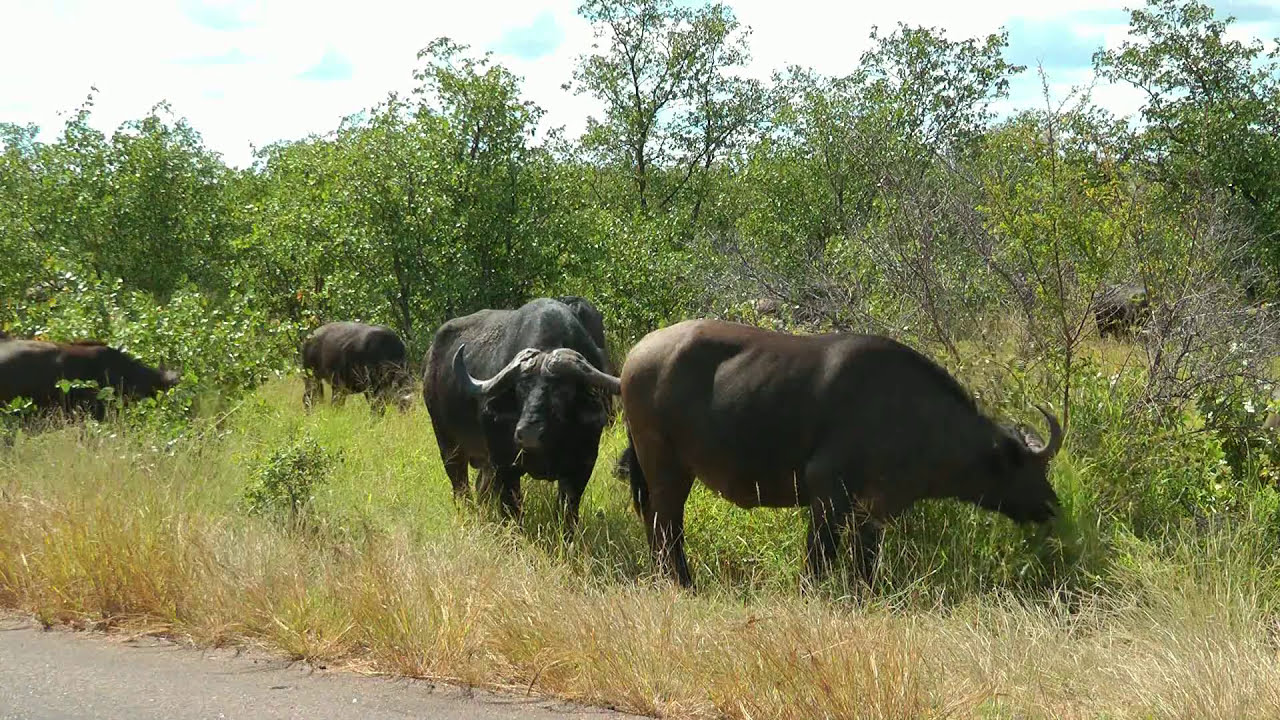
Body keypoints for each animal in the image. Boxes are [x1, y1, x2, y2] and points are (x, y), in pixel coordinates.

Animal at [423, 298, 622, 532]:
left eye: (563, 391)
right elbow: (512, 510)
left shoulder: (581, 466)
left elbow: (567, 513)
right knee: (461, 488)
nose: (528, 434)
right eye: (520, 389)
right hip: (449, 446)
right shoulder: (504, 465)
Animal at [619, 319, 1063, 588]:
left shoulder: (874, 510)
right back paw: (683, 582)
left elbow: (865, 562)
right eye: (1025, 466)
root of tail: (636, 355)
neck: (909, 413)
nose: (1052, 505)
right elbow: (819, 558)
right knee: (665, 524)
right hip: (667, 467)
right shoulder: (827, 492)